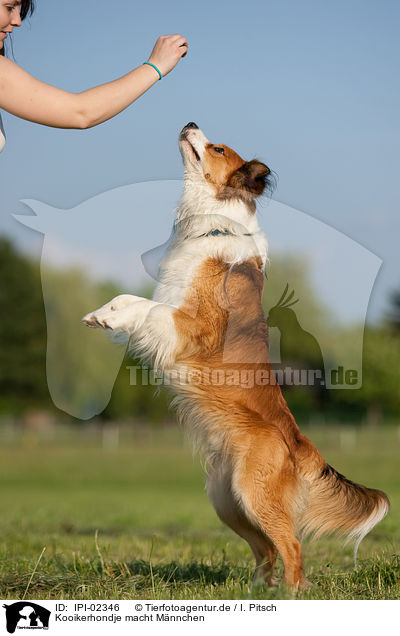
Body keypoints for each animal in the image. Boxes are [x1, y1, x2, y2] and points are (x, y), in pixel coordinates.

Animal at [83, 121, 390, 588]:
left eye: (218, 148)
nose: (190, 122)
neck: (214, 226)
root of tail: (300, 443)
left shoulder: (193, 327)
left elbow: (145, 307)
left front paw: (109, 319)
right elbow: (131, 297)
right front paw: (102, 312)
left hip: (253, 496)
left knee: (292, 548)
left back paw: (290, 595)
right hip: (228, 501)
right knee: (266, 550)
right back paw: (258, 589)